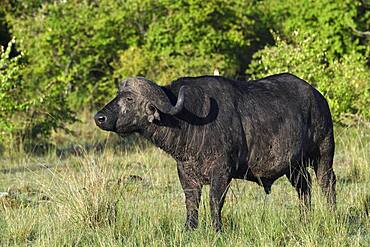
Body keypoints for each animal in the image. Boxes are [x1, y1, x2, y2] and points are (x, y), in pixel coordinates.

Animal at [94, 73, 336, 232]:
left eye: (129, 98)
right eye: (118, 95)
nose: (100, 117)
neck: (189, 122)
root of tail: (318, 97)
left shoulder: (222, 172)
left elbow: (214, 200)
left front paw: (216, 229)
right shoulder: (186, 174)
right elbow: (191, 202)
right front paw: (189, 228)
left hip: (324, 153)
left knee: (327, 183)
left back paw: (331, 214)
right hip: (294, 166)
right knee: (304, 188)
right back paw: (304, 220)